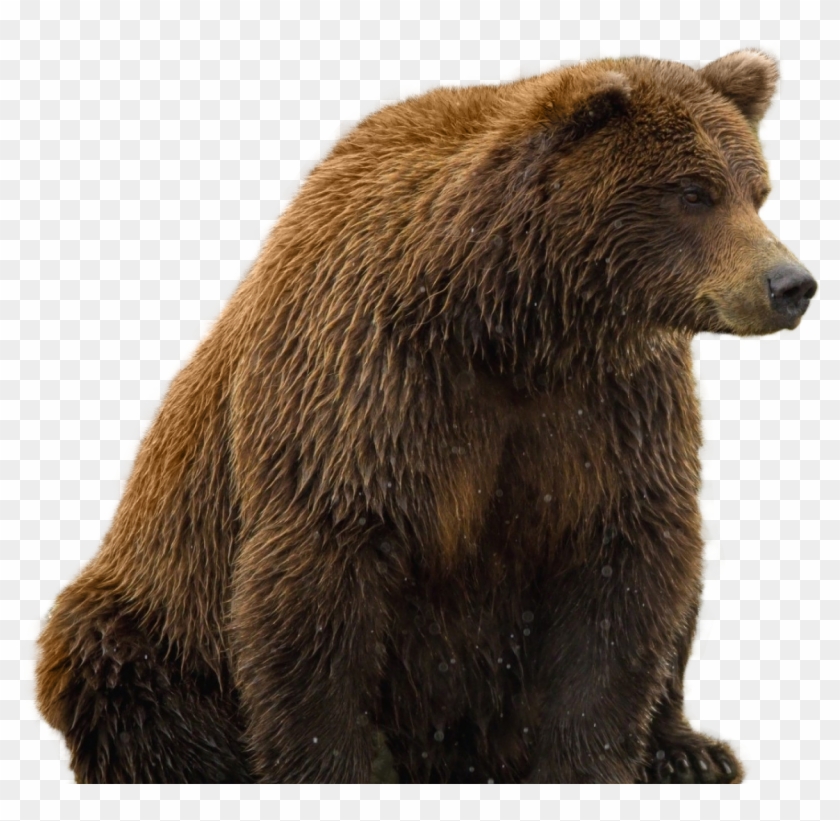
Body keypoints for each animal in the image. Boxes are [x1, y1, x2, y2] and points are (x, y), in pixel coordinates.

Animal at [35, 50, 816, 784]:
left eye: (757, 190)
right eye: (693, 191)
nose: (791, 284)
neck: (513, 326)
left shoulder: (611, 408)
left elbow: (624, 574)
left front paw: (588, 763)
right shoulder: (365, 393)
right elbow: (317, 596)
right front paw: (334, 767)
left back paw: (689, 749)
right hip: (154, 614)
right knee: (123, 672)